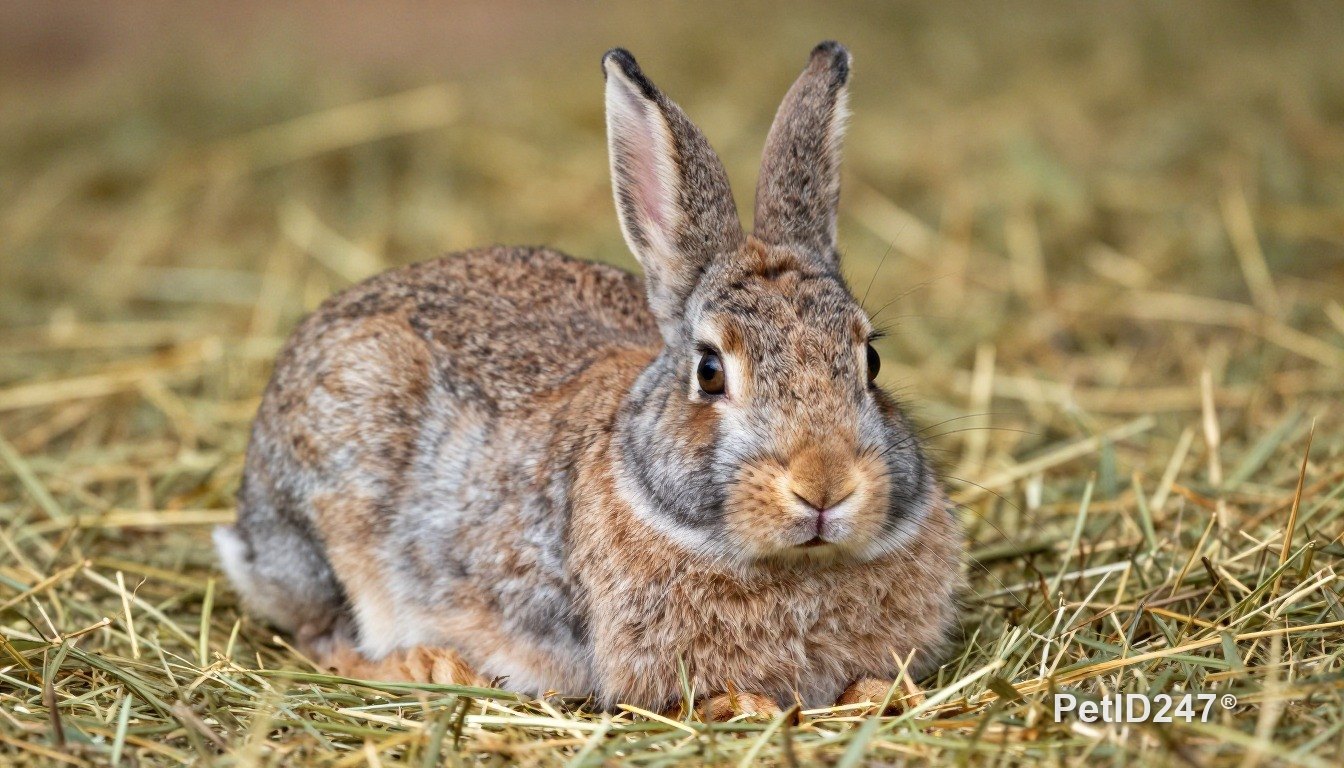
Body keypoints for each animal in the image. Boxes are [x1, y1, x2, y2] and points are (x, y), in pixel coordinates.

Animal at [214, 41, 963, 716]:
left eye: (870, 361)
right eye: (710, 371)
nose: (823, 485)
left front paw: (882, 694)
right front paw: (747, 707)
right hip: (334, 504)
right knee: (323, 637)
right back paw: (426, 663)